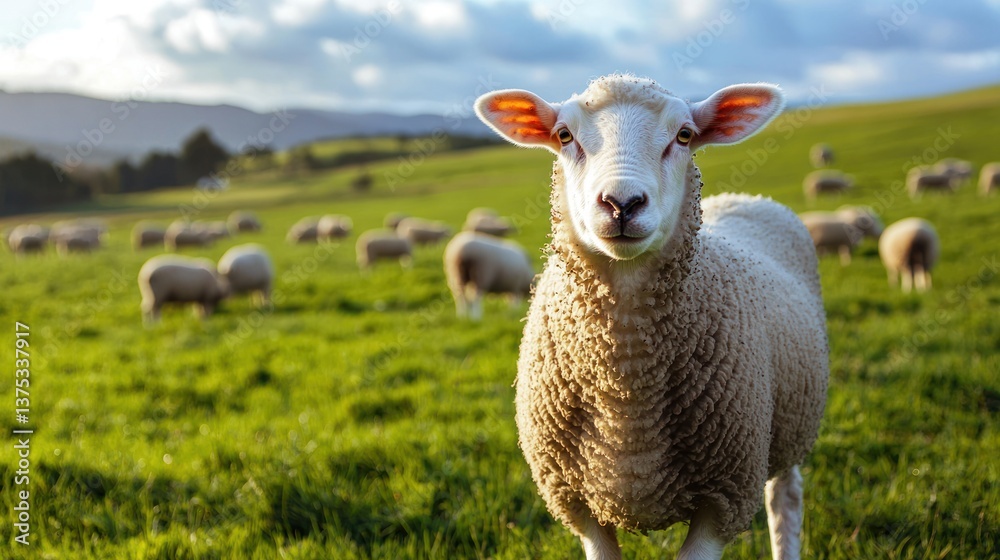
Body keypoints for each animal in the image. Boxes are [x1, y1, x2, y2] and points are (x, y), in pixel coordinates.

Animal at [476, 74, 828, 560]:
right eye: (564, 135)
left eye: (684, 135)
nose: (622, 203)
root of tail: (745, 197)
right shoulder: (576, 502)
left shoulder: (723, 498)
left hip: (788, 428)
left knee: (785, 501)